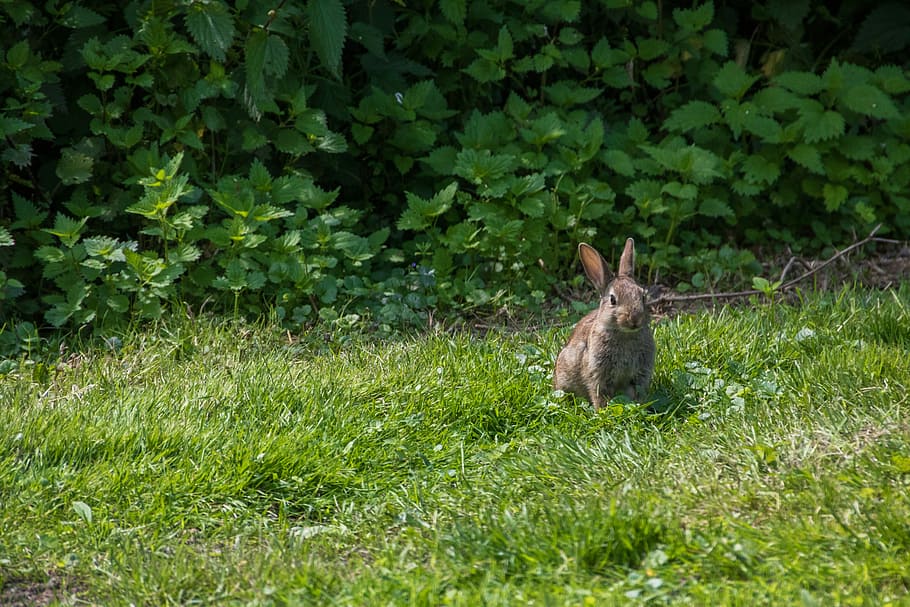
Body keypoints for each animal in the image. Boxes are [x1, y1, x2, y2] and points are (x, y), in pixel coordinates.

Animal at [553, 238, 655, 410]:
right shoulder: (598, 373)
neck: (624, 334)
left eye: (643, 296)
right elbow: (599, 394)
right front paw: (602, 410)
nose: (635, 319)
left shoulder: (641, 373)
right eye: (613, 300)